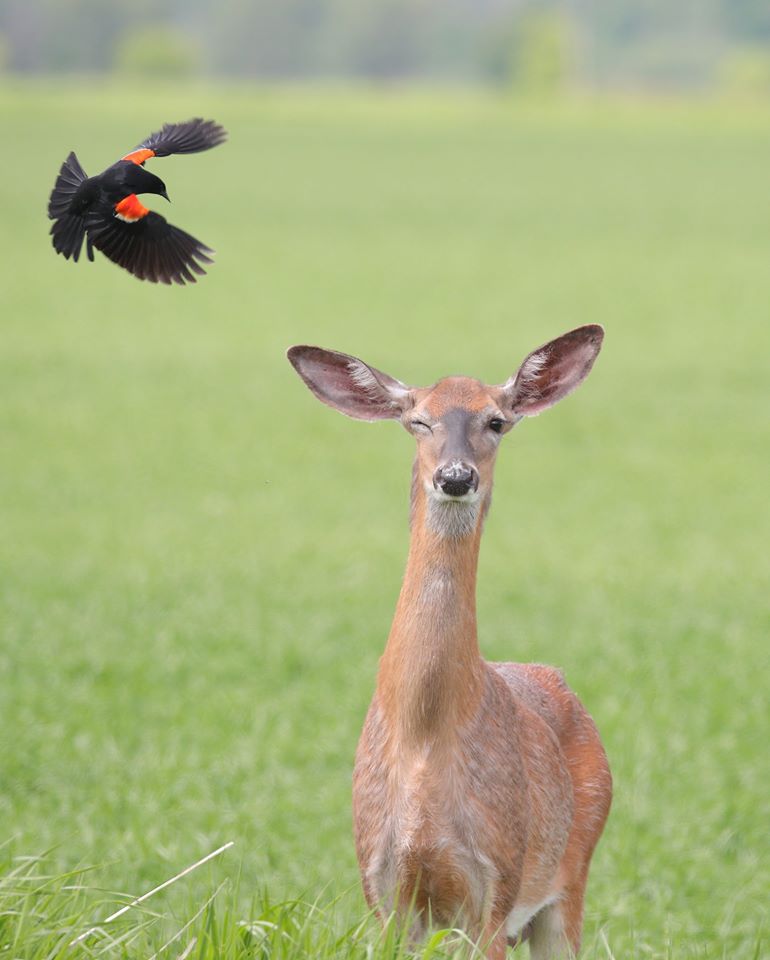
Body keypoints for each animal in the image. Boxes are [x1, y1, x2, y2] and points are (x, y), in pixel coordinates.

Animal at [287, 325, 612, 959]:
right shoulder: (382, 887)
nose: (456, 477)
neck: (425, 735)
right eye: (417, 420)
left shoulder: (495, 885)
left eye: (496, 421)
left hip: (570, 876)